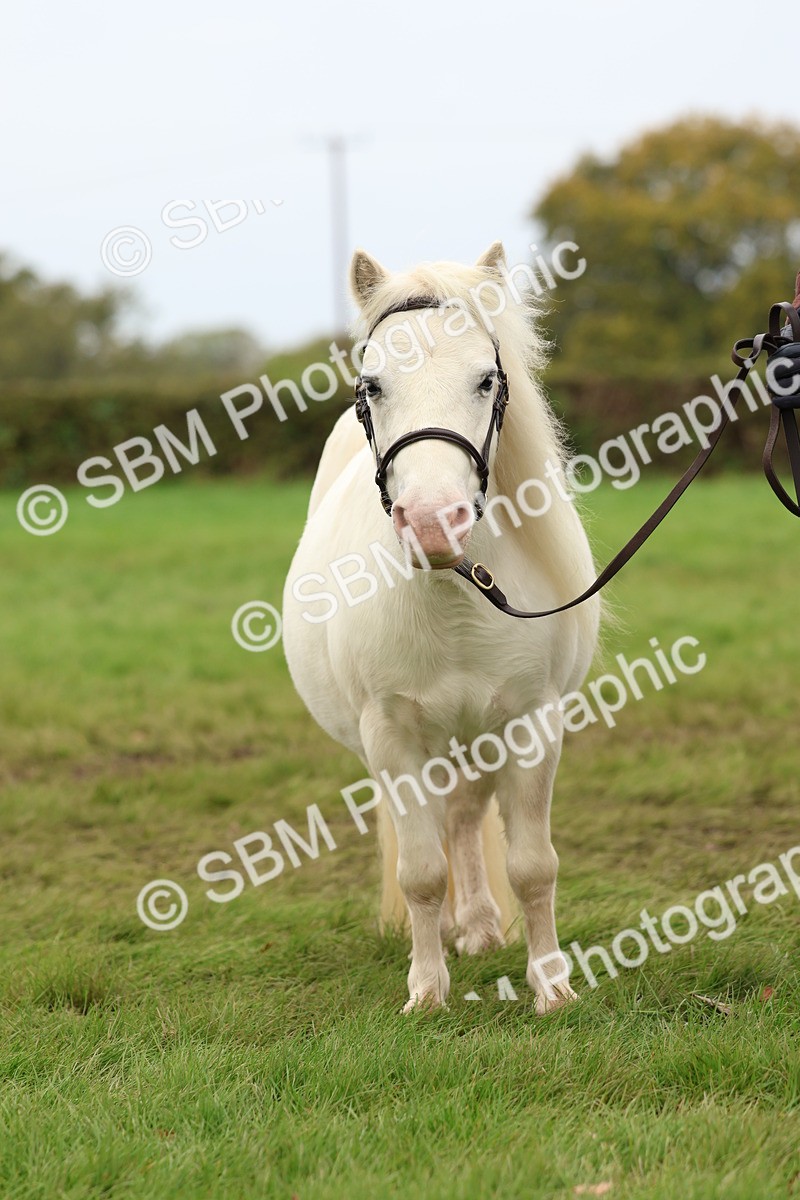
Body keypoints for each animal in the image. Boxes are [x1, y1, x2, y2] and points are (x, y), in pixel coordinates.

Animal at [282, 242, 599, 1013]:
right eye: (372, 386)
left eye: (486, 380)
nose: (431, 524)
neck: (453, 596)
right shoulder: (392, 739)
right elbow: (421, 872)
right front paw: (426, 990)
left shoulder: (529, 724)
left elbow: (533, 865)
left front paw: (552, 987)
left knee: (462, 816)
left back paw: (479, 926)